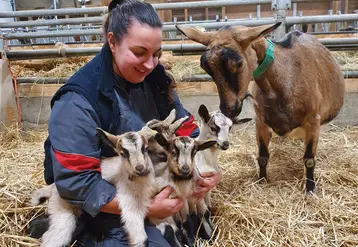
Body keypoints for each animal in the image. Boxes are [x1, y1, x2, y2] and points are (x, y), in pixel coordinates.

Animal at [178, 22, 346, 191]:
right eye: (206, 67)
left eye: (238, 63)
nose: (228, 109)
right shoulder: (261, 121)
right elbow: (263, 157)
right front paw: (261, 181)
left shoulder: (313, 120)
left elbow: (309, 159)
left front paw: (310, 189)